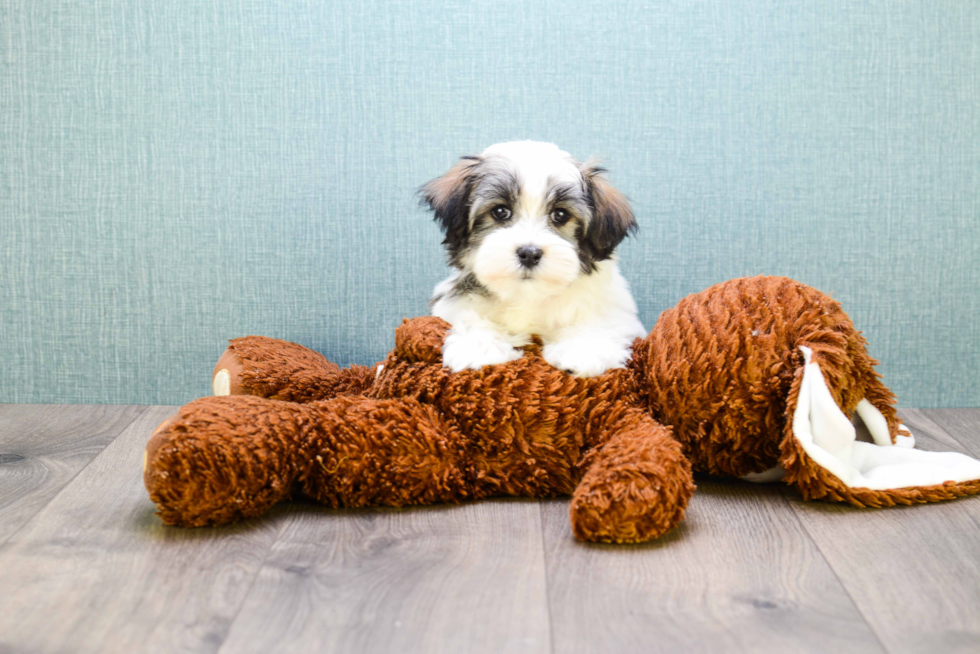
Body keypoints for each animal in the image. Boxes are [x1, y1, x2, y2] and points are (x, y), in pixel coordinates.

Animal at [420, 144, 644, 380]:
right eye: (500, 211)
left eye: (560, 214)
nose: (529, 253)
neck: (528, 296)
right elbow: (471, 316)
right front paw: (478, 346)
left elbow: (598, 321)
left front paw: (581, 349)